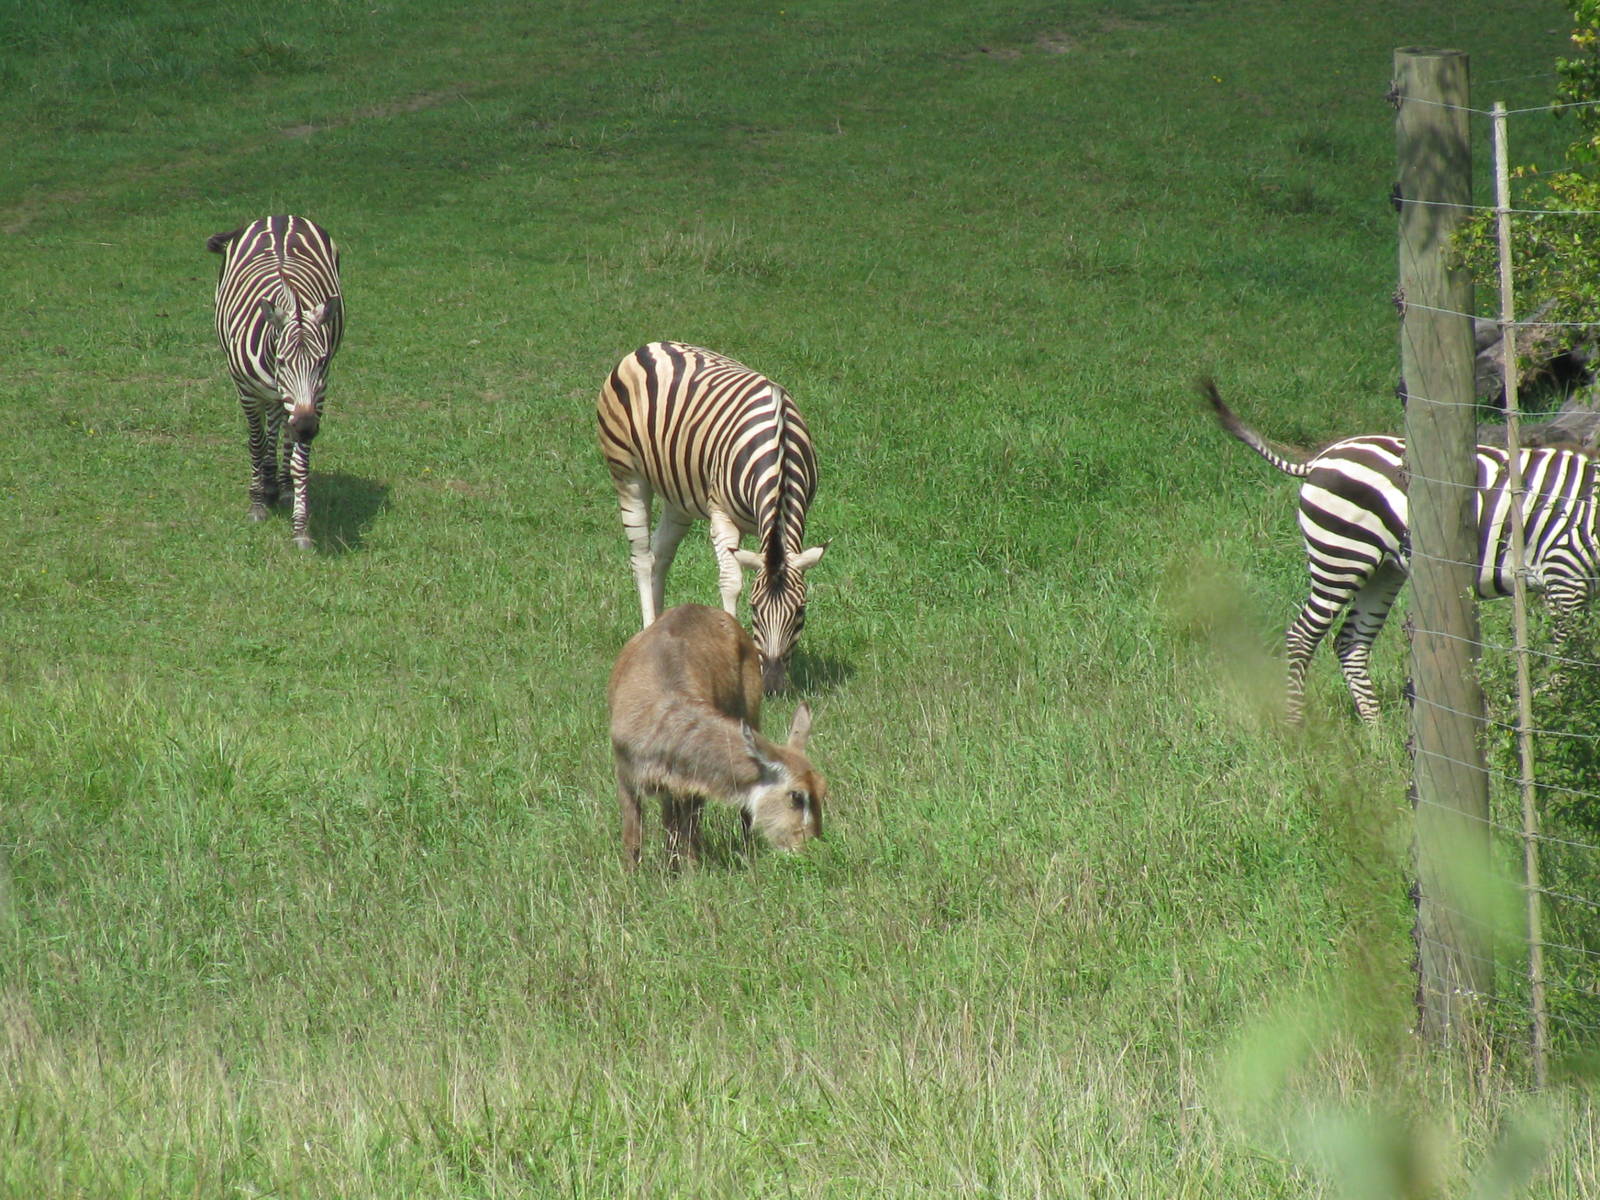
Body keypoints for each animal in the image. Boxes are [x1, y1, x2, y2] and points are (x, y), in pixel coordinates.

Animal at [207, 215, 344, 550]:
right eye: (282, 361)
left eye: (321, 362)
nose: (306, 428)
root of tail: (282, 216)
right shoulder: (246, 390)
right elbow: (256, 442)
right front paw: (257, 503)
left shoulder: (318, 395)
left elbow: (300, 461)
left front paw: (301, 527)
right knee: (272, 422)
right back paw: (268, 484)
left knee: (280, 422)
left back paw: (281, 485)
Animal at [598, 341, 826, 694]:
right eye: (754, 610)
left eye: (800, 610)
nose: (773, 687)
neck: (780, 449)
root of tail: (650, 346)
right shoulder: (721, 516)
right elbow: (731, 583)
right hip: (627, 474)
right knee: (642, 557)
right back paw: (647, 628)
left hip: (679, 494)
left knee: (661, 553)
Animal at [1203, 379, 1600, 723]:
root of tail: (1321, 459)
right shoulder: (1564, 576)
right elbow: (1566, 661)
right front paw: (1558, 719)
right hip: (1340, 558)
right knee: (1302, 636)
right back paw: (1297, 727)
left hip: (1383, 570)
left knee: (1350, 642)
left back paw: (1376, 732)